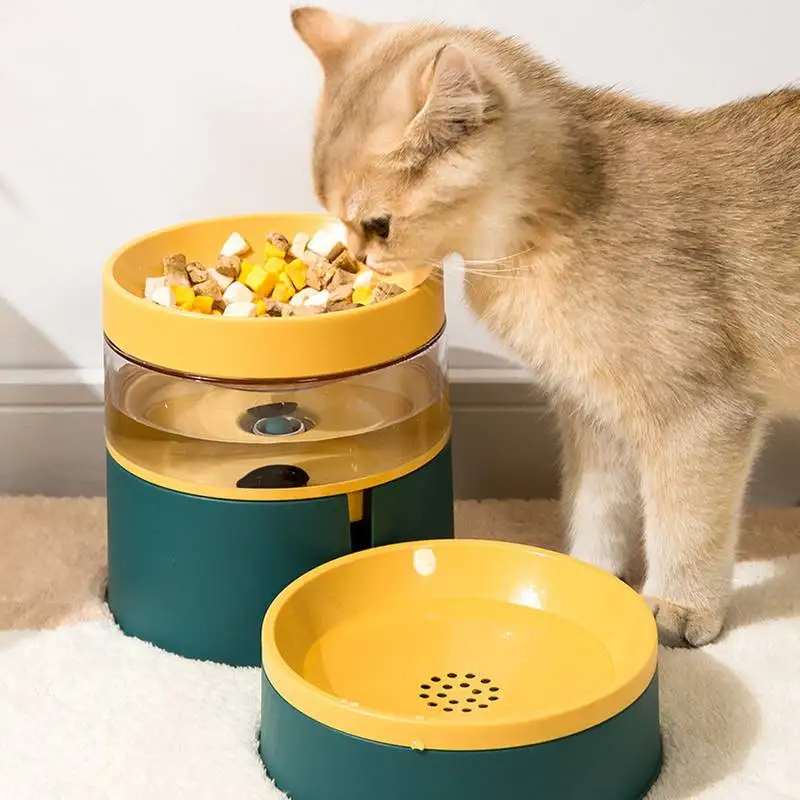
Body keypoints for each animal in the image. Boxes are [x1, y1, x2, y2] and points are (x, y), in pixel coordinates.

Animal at [291, 6, 800, 647]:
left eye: (379, 225)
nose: (357, 258)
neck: (560, 220)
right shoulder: (595, 413)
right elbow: (596, 508)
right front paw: (589, 578)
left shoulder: (701, 416)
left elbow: (686, 524)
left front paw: (680, 607)